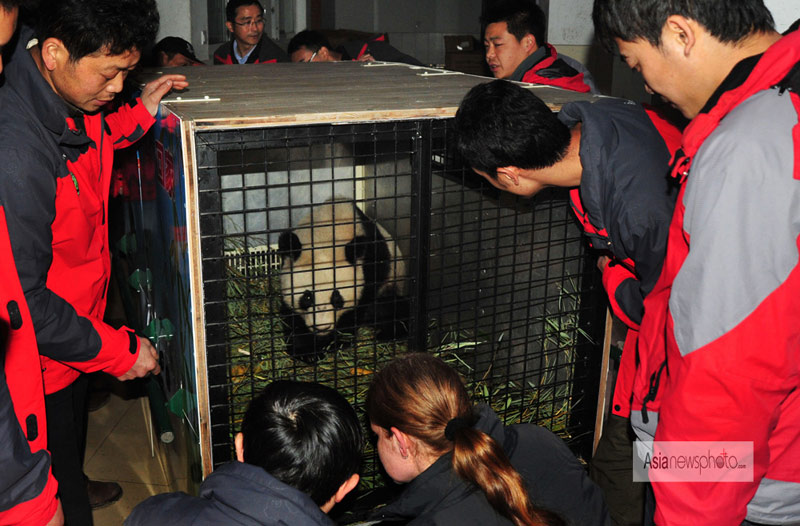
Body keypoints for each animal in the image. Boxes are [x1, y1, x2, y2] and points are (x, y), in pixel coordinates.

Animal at [278, 199, 410, 364]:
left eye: (337, 298)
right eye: (307, 297)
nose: (322, 328)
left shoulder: (371, 264)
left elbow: (360, 305)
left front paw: (337, 341)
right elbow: (291, 315)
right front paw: (307, 351)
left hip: (394, 282)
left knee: (391, 307)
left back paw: (390, 333)